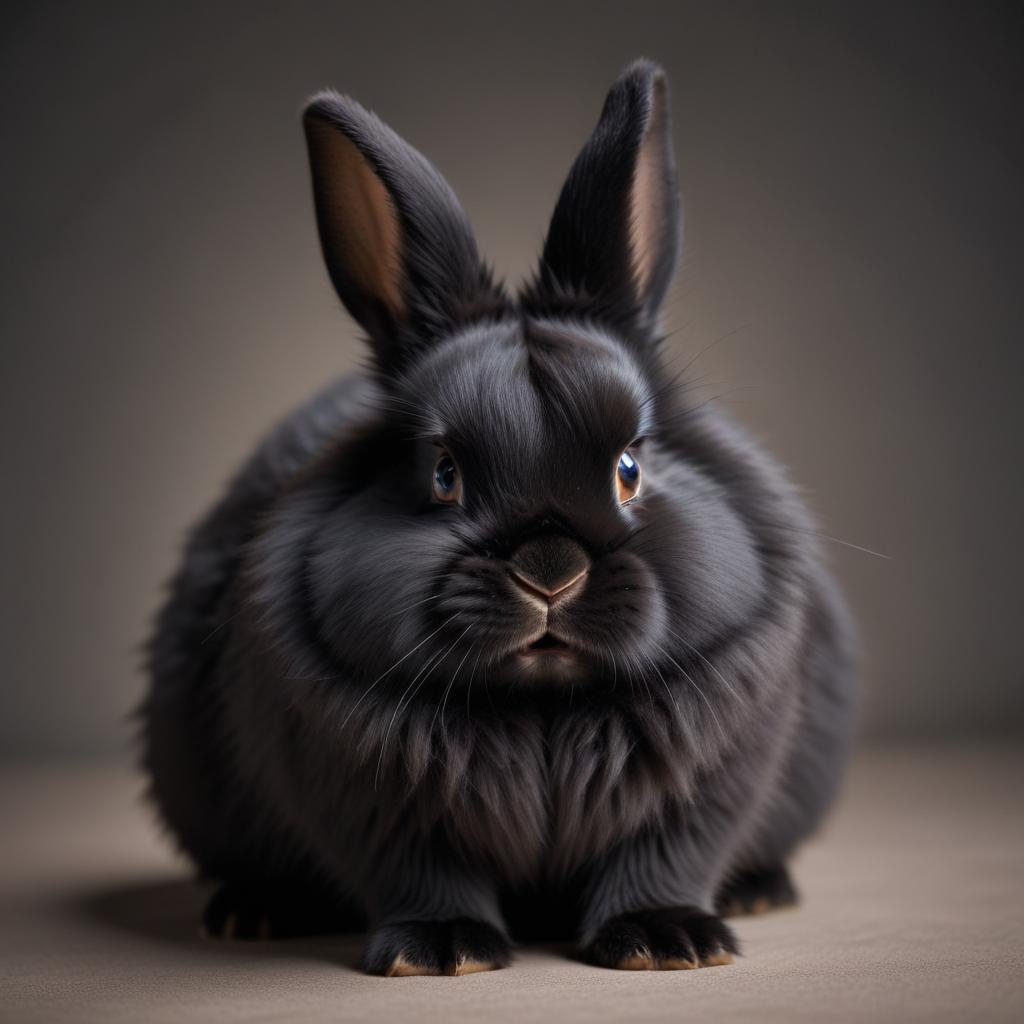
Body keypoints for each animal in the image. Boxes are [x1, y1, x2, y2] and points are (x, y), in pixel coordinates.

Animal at [141, 59, 857, 976]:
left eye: (631, 467)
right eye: (443, 475)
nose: (551, 572)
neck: (540, 710)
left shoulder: (706, 786)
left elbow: (663, 855)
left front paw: (669, 940)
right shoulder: (375, 804)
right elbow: (422, 871)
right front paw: (442, 951)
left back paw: (759, 891)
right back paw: (255, 910)